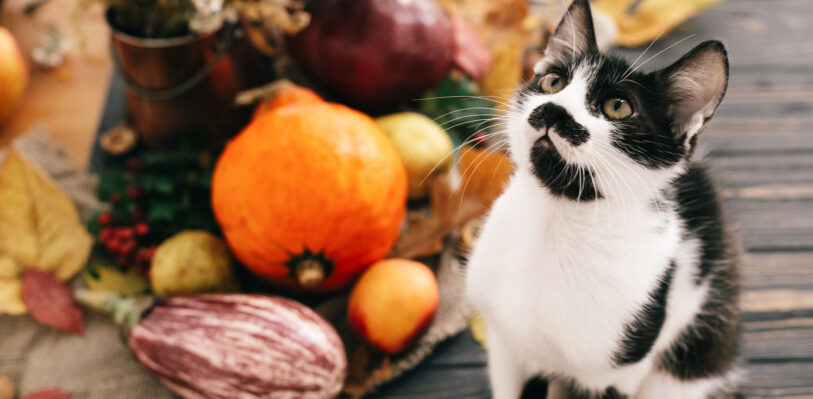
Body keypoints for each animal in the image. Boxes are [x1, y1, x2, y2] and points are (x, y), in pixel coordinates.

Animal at [464, 1, 744, 398]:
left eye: (618, 107)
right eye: (553, 82)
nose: (553, 109)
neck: (555, 221)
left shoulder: (616, 369)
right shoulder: (504, 344)